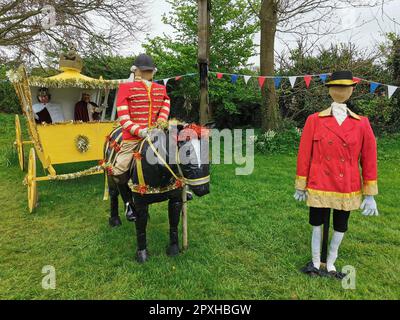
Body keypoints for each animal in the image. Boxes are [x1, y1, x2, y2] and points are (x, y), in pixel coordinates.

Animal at [102, 123, 209, 262]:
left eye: (207, 151)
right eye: (187, 152)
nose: (204, 189)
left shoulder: (175, 199)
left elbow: (174, 223)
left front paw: (174, 249)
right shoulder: (141, 202)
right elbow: (141, 228)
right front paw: (142, 255)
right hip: (111, 173)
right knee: (115, 192)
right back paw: (116, 220)